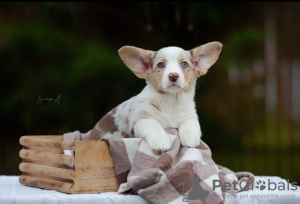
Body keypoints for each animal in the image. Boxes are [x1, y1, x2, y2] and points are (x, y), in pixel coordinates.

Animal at [79, 41, 220, 153]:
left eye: (184, 64)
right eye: (161, 65)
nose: (173, 76)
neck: (172, 102)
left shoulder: (190, 116)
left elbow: (190, 124)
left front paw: (190, 139)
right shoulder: (142, 120)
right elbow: (155, 126)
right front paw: (161, 142)